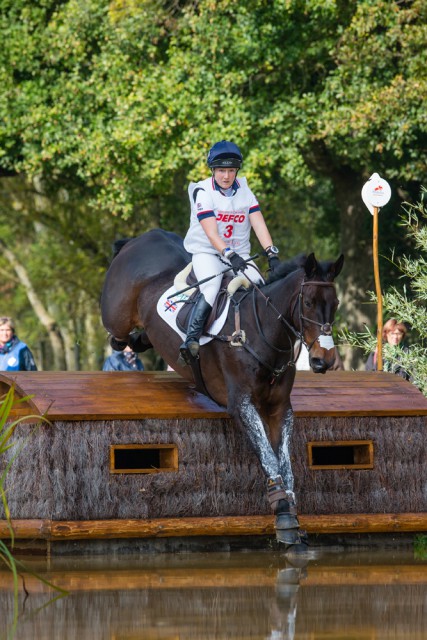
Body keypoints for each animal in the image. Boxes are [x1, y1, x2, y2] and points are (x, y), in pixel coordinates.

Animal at [101, 228, 344, 548]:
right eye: (308, 303)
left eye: (335, 303)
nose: (323, 360)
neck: (262, 331)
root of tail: (142, 238)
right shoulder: (241, 404)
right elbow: (268, 456)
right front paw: (284, 516)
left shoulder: (280, 408)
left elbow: (284, 460)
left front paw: (291, 511)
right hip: (116, 315)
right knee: (117, 337)